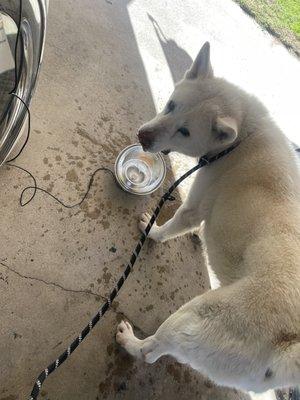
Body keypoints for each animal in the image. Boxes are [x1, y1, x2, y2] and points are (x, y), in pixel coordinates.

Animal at [115, 42, 300, 392]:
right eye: (171, 104)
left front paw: (152, 230)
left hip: (195, 317)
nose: (143, 137)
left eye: (185, 131)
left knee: (151, 352)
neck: (241, 138)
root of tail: (288, 347)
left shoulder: (196, 206)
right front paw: (198, 235)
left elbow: (171, 226)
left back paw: (130, 341)